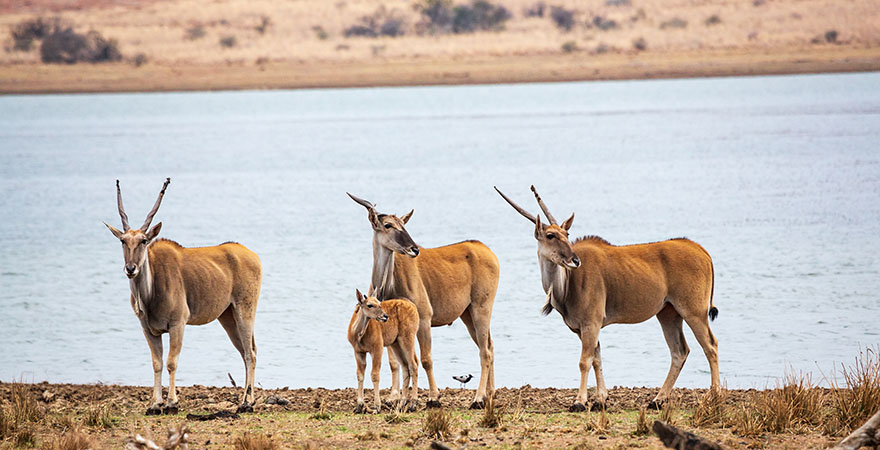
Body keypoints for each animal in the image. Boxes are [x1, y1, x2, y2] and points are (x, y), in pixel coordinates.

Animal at [350, 192, 502, 410]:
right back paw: (491, 394)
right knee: (490, 345)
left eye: (403, 224)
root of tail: (487, 251)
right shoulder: (387, 322)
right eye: (388, 225)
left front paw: (433, 397)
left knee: (485, 352)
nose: (414, 249)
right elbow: (395, 362)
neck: (390, 282)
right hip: (467, 315)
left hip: (481, 308)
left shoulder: (423, 319)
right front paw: (394, 397)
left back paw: (478, 398)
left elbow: (426, 359)